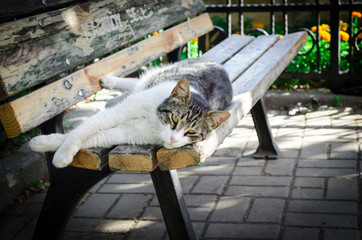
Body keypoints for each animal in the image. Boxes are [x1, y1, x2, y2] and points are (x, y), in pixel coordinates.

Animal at [29, 58, 233, 168]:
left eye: (191, 132)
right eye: (174, 119)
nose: (173, 139)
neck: (154, 119)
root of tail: (221, 67)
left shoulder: (127, 134)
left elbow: (95, 137)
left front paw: (45, 145)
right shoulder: (117, 114)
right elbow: (81, 131)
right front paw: (58, 152)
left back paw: (111, 99)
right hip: (161, 74)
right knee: (136, 82)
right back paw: (109, 83)